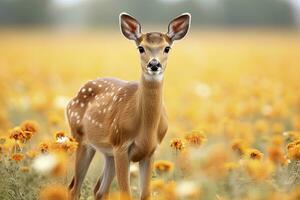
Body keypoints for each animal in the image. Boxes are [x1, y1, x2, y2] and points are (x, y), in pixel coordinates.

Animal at [67, 12, 191, 200]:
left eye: (167, 48)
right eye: (140, 48)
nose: (154, 64)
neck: (146, 129)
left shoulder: (151, 151)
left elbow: (145, 194)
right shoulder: (121, 145)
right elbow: (126, 193)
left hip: (108, 152)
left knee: (99, 190)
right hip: (81, 139)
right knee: (75, 189)